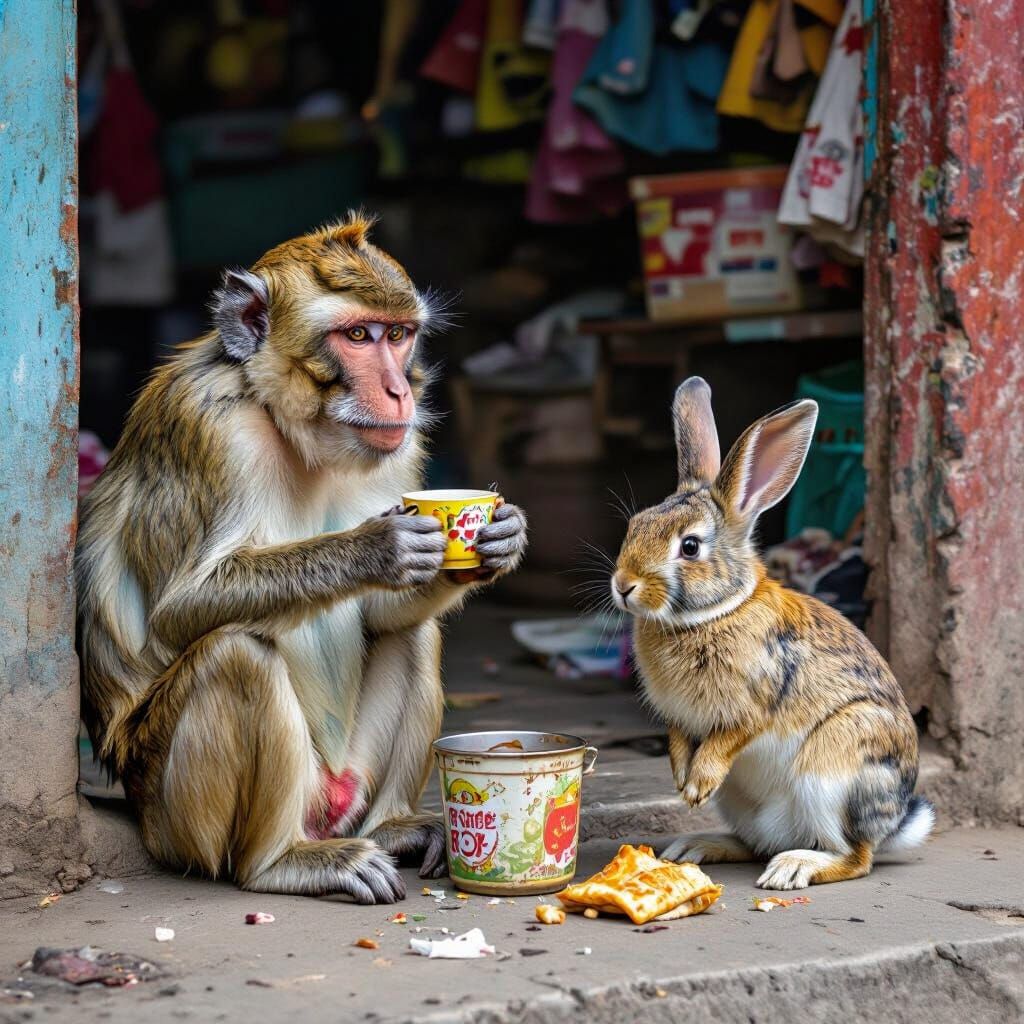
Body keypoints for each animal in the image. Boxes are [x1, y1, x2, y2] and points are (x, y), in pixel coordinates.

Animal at [75, 213, 529, 903]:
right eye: (358, 335)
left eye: (399, 335)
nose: (399, 391)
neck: (281, 418)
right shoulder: (207, 425)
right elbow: (175, 614)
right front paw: (375, 548)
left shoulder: (400, 447)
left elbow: (383, 617)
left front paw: (498, 542)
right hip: (178, 818)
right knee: (237, 656)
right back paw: (282, 863)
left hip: (350, 778)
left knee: (414, 634)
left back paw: (393, 827)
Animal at [611, 377, 934, 889]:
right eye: (636, 525)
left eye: (690, 547)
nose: (624, 586)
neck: (711, 613)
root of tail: (895, 823)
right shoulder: (679, 719)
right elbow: (679, 741)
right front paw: (682, 782)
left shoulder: (754, 705)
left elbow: (729, 739)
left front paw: (696, 785)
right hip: (745, 804)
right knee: (758, 842)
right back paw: (698, 846)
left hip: (832, 772)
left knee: (855, 857)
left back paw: (792, 868)